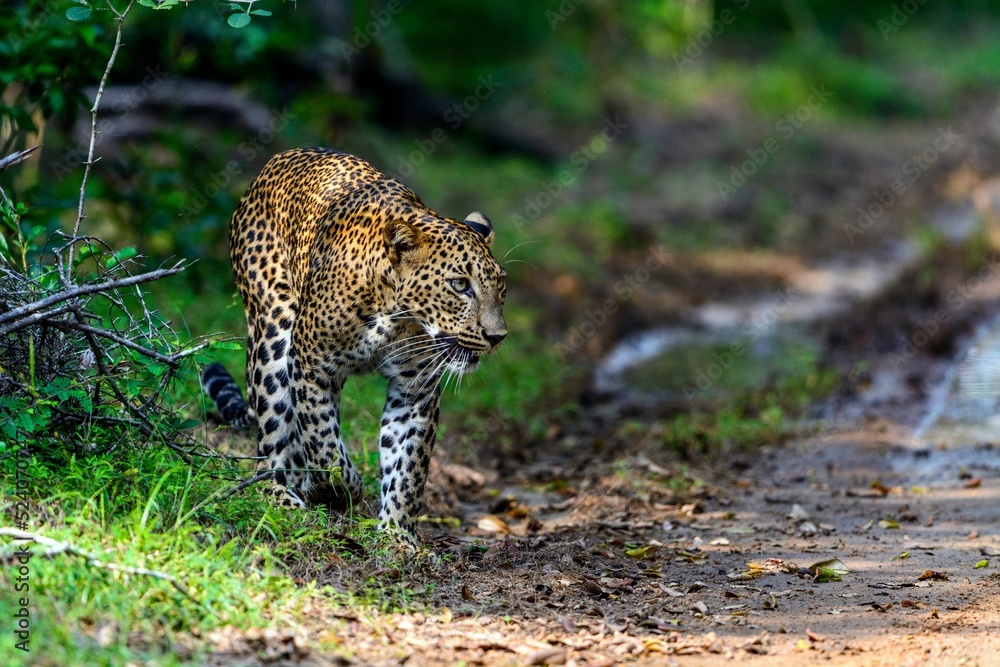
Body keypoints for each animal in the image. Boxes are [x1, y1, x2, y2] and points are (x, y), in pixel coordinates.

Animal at [200, 147, 508, 544]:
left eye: (501, 286)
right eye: (459, 285)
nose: (497, 336)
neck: (395, 318)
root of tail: (280, 160)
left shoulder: (415, 390)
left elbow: (408, 464)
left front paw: (397, 535)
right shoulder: (310, 365)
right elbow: (323, 442)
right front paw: (338, 489)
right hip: (272, 333)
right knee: (273, 434)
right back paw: (284, 495)